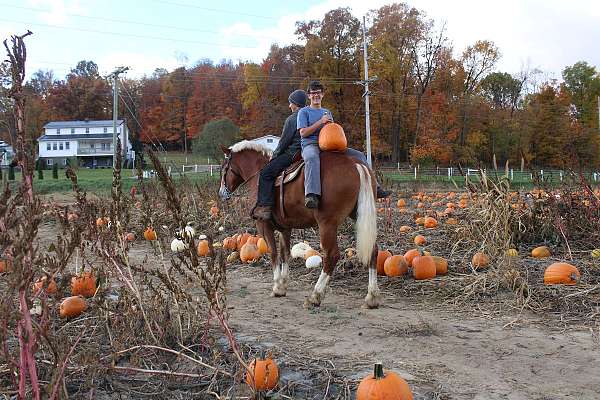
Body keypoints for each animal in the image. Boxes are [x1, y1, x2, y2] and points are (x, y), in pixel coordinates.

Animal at [218, 141, 382, 310]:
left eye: (223, 168)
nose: (222, 193)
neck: (258, 174)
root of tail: (355, 164)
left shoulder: (263, 225)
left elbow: (273, 253)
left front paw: (276, 286)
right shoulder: (285, 228)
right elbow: (285, 254)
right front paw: (283, 285)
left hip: (327, 224)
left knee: (331, 255)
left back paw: (315, 296)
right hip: (359, 217)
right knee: (373, 251)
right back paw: (372, 297)